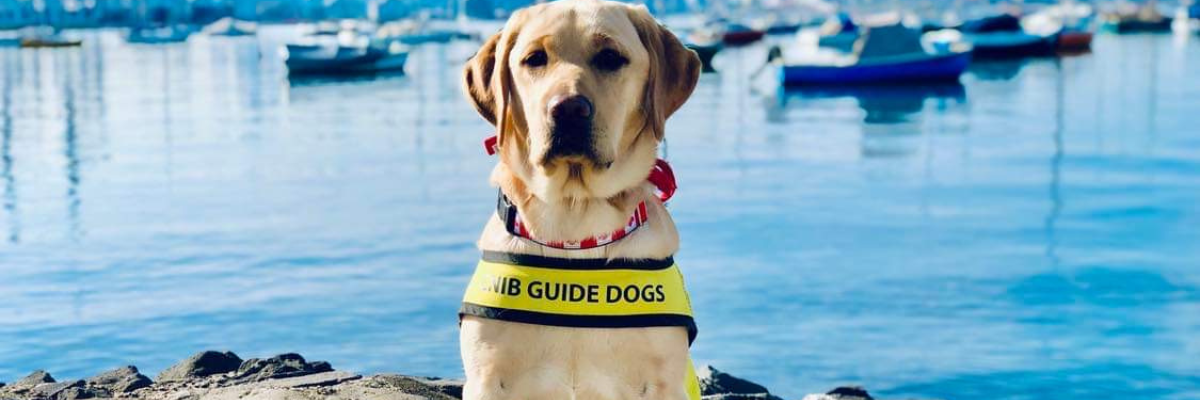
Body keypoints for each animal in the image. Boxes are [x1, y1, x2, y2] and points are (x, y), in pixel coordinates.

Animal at [458, 0, 700, 396]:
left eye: (610, 57)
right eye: (534, 59)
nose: (568, 108)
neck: (575, 226)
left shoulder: (664, 382)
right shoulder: (487, 379)